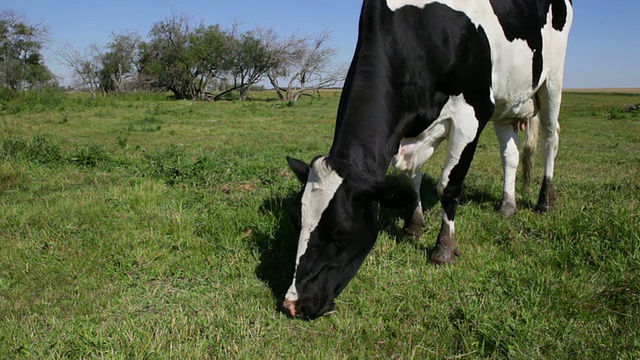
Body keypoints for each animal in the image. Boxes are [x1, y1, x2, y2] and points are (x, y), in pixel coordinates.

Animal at [282, 0, 572, 318]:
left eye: (341, 232)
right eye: (296, 218)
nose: (292, 304)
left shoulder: (474, 110)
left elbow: (449, 186)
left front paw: (443, 249)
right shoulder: (409, 130)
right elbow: (410, 179)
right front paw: (414, 225)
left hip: (552, 79)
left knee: (551, 137)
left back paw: (545, 200)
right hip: (506, 102)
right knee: (510, 153)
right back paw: (508, 206)